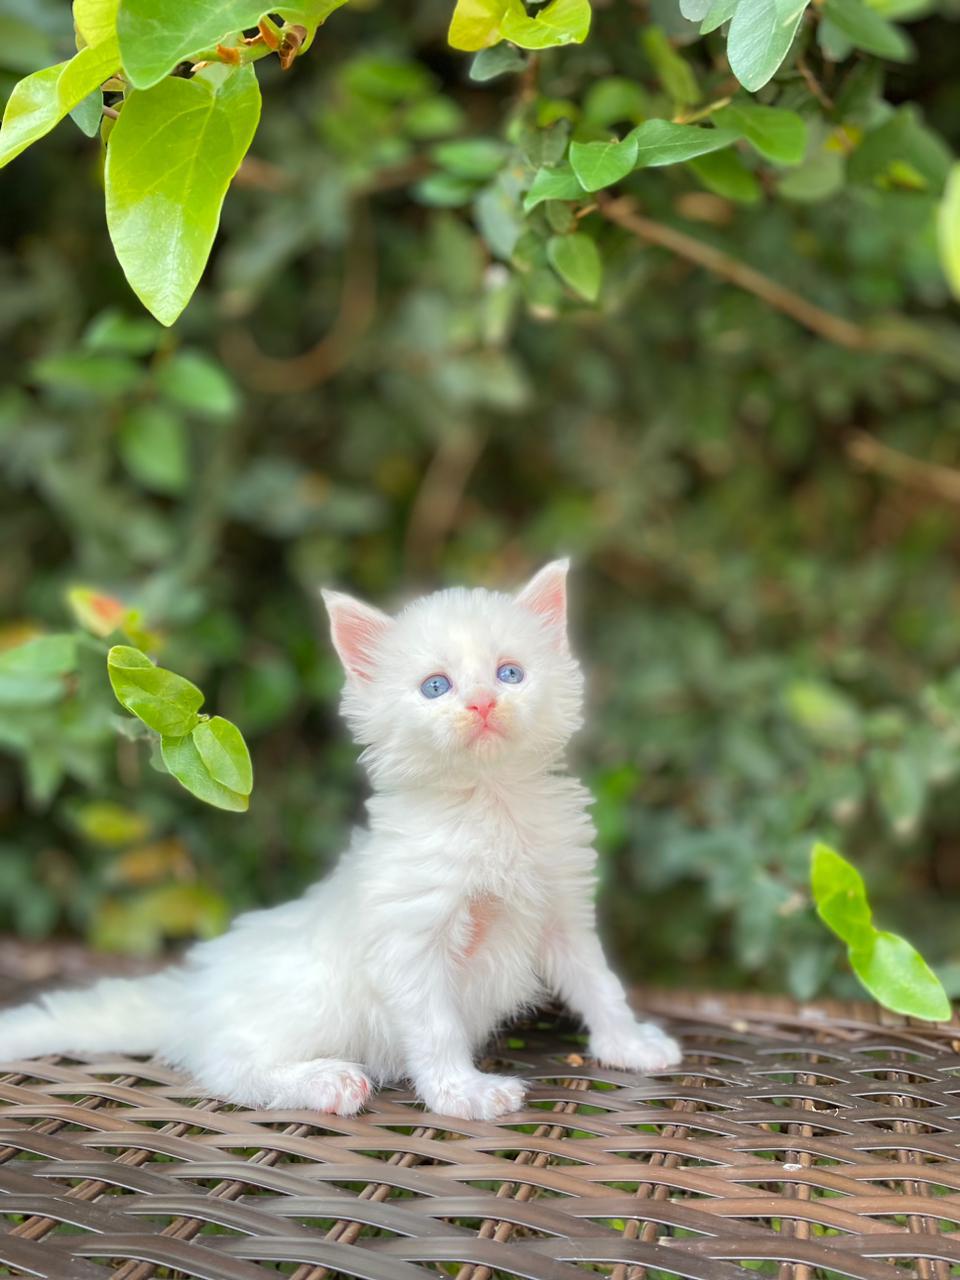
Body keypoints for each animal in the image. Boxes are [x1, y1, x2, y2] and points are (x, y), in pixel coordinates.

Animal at [0, 565, 686, 1116]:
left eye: (509, 674)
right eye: (436, 687)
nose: (484, 703)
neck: (488, 804)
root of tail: (194, 993)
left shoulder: (563, 911)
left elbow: (601, 985)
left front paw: (630, 1046)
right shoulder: (412, 944)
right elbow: (435, 1027)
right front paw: (462, 1094)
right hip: (308, 1007)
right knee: (225, 1064)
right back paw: (324, 1083)